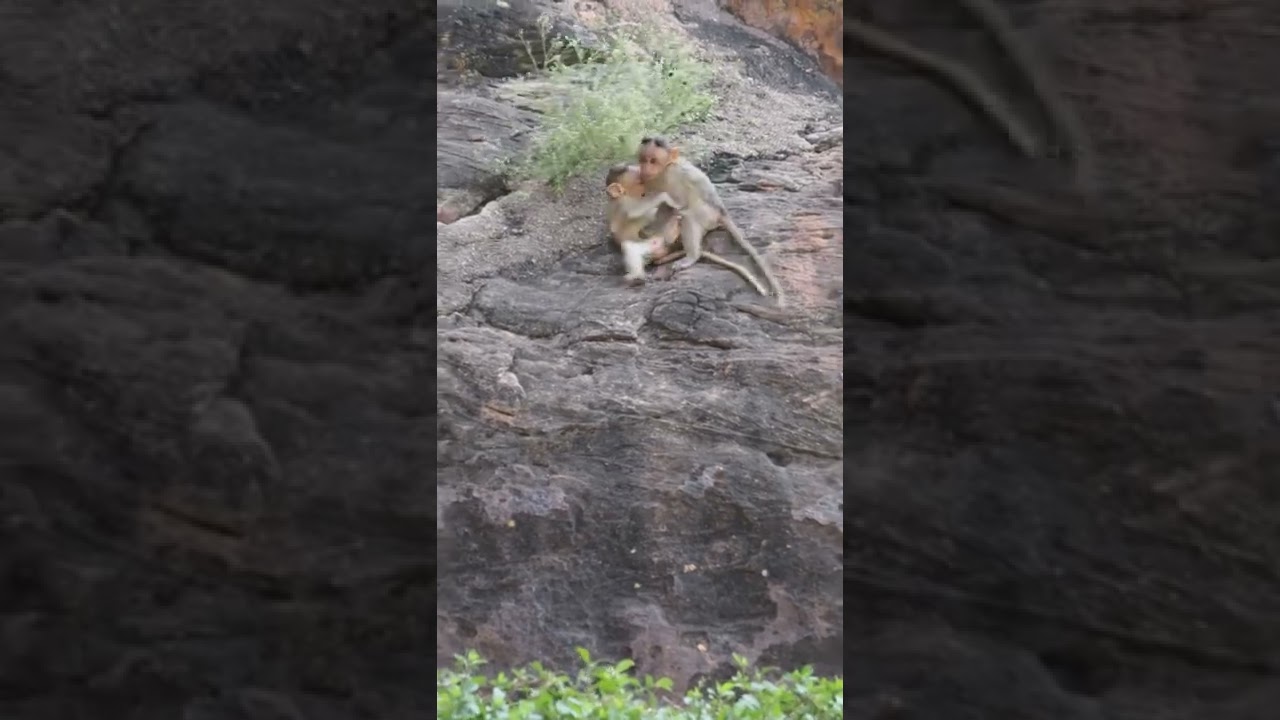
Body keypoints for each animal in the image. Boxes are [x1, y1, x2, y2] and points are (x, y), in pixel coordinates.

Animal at [605, 164, 769, 296]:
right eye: (639, 182)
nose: (647, 187)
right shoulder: (624, 204)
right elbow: (634, 212)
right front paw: (665, 197)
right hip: (655, 245)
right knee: (631, 246)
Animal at [635, 138, 785, 305]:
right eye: (643, 160)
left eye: (653, 161)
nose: (644, 169)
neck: (664, 171)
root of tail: (721, 211)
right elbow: (663, 207)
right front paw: (648, 230)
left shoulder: (672, 177)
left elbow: (676, 204)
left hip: (707, 214)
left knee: (688, 216)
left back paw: (692, 256)